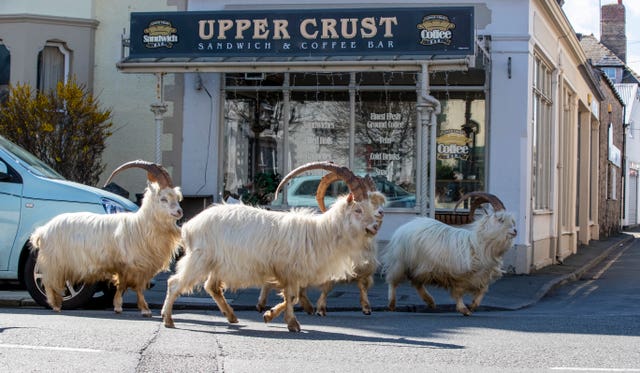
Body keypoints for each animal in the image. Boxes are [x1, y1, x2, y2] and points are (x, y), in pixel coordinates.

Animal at [31, 161, 184, 316]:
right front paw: (125, 307)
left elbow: (136, 287)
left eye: (177, 198)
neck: (140, 226)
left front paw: (140, 309)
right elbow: (125, 286)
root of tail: (43, 230)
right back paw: (55, 305)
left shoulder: (141, 267)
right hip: (54, 261)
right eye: (163, 199)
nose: (179, 212)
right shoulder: (128, 265)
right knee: (49, 282)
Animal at [162, 161, 382, 330]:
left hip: (217, 264)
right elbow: (291, 296)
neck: (320, 233)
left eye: (370, 207)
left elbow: (292, 297)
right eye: (358, 210)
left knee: (212, 287)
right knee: (175, 283)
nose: (374, 227)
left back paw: (232, 316)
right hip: (200, 258)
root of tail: (190, 225)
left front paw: (270, 315)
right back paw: (168, 319)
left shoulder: (290, 274)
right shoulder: (288, 271)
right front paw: (292, 324)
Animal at [382, 193, 516, 316]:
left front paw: (473, 305)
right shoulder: (459, 276)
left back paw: (430, 302)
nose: (515, 231)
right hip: (400, 262)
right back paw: (392, 304)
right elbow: (458, 292)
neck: (478, 244)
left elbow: (482, 291)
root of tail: (405, 226)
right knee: (392, 281)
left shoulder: (482, 277)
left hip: (419, 268)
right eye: (500, 220)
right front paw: (463, 309)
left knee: (416, 283)